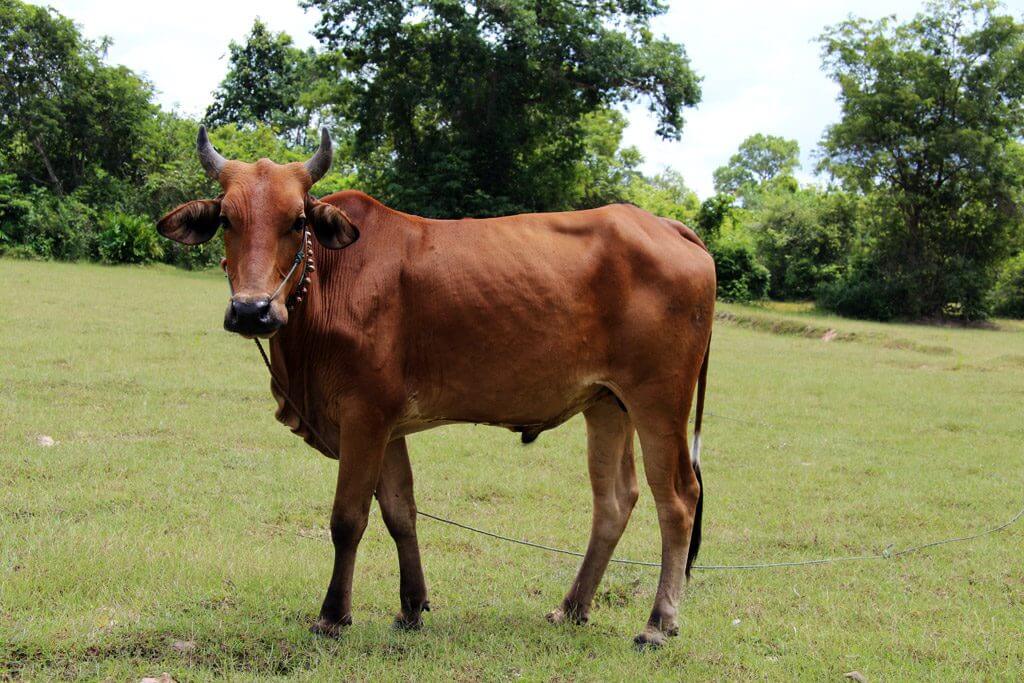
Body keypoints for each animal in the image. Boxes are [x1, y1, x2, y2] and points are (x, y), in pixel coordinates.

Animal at [159, 126, 716, 647]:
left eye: (297, 221)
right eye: (226, 220)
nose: (252, 311)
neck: (331, 281)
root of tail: (666, 225)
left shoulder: (364, 417)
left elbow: (348, 518)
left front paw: (333, 615)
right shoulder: (387, 426)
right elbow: (400, 512)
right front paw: (411, 607)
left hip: (659, 403)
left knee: (678, 500)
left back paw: (658, 623)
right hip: (607, 404)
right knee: (615, 501)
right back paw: (572, 607)